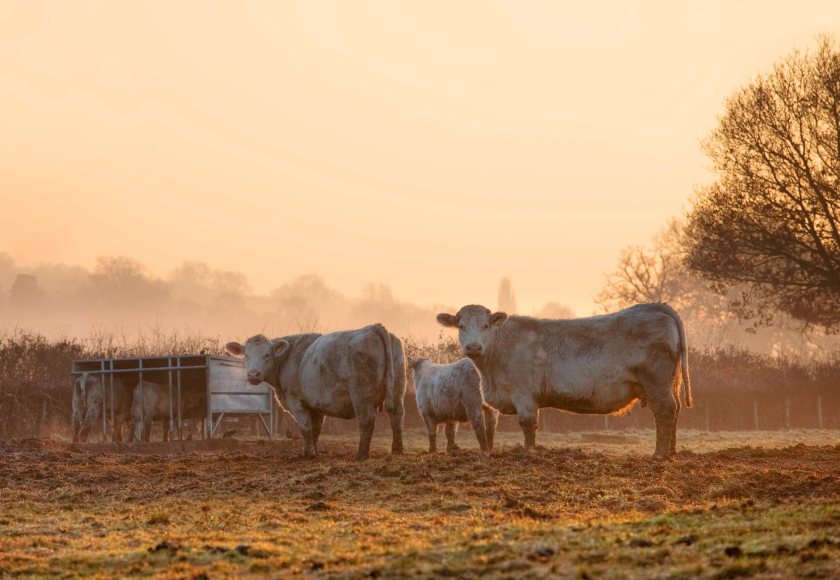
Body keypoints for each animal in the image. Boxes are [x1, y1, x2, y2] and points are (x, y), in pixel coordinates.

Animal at [436, 304, 692, 458]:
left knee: (665, 410)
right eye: (461, 326)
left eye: (485, 325)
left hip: (656, 383)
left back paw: (659, 454)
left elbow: (528, 427)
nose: (473, 346)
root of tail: (653, 307)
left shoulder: (523, 397)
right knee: (676, 409)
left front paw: (529, 453)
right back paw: (671, 452)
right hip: (671, 382)